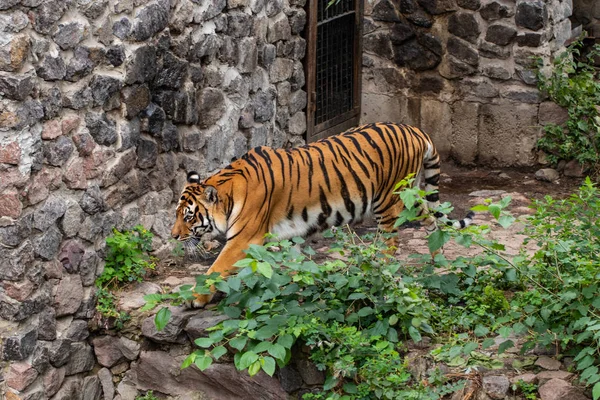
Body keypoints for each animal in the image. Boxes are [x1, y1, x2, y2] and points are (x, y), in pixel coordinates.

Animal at [172, 122, 474, 306]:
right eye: (176, 214)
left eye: (189, 217)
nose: (173, 236)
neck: (229, 190)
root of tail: (414, 128)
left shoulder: (243, 239)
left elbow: (216, 269)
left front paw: (195, 298)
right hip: (410, 198)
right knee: (433, 220)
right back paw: (436, 258)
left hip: (389, 201)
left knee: (390, 243)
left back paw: (377, 272)